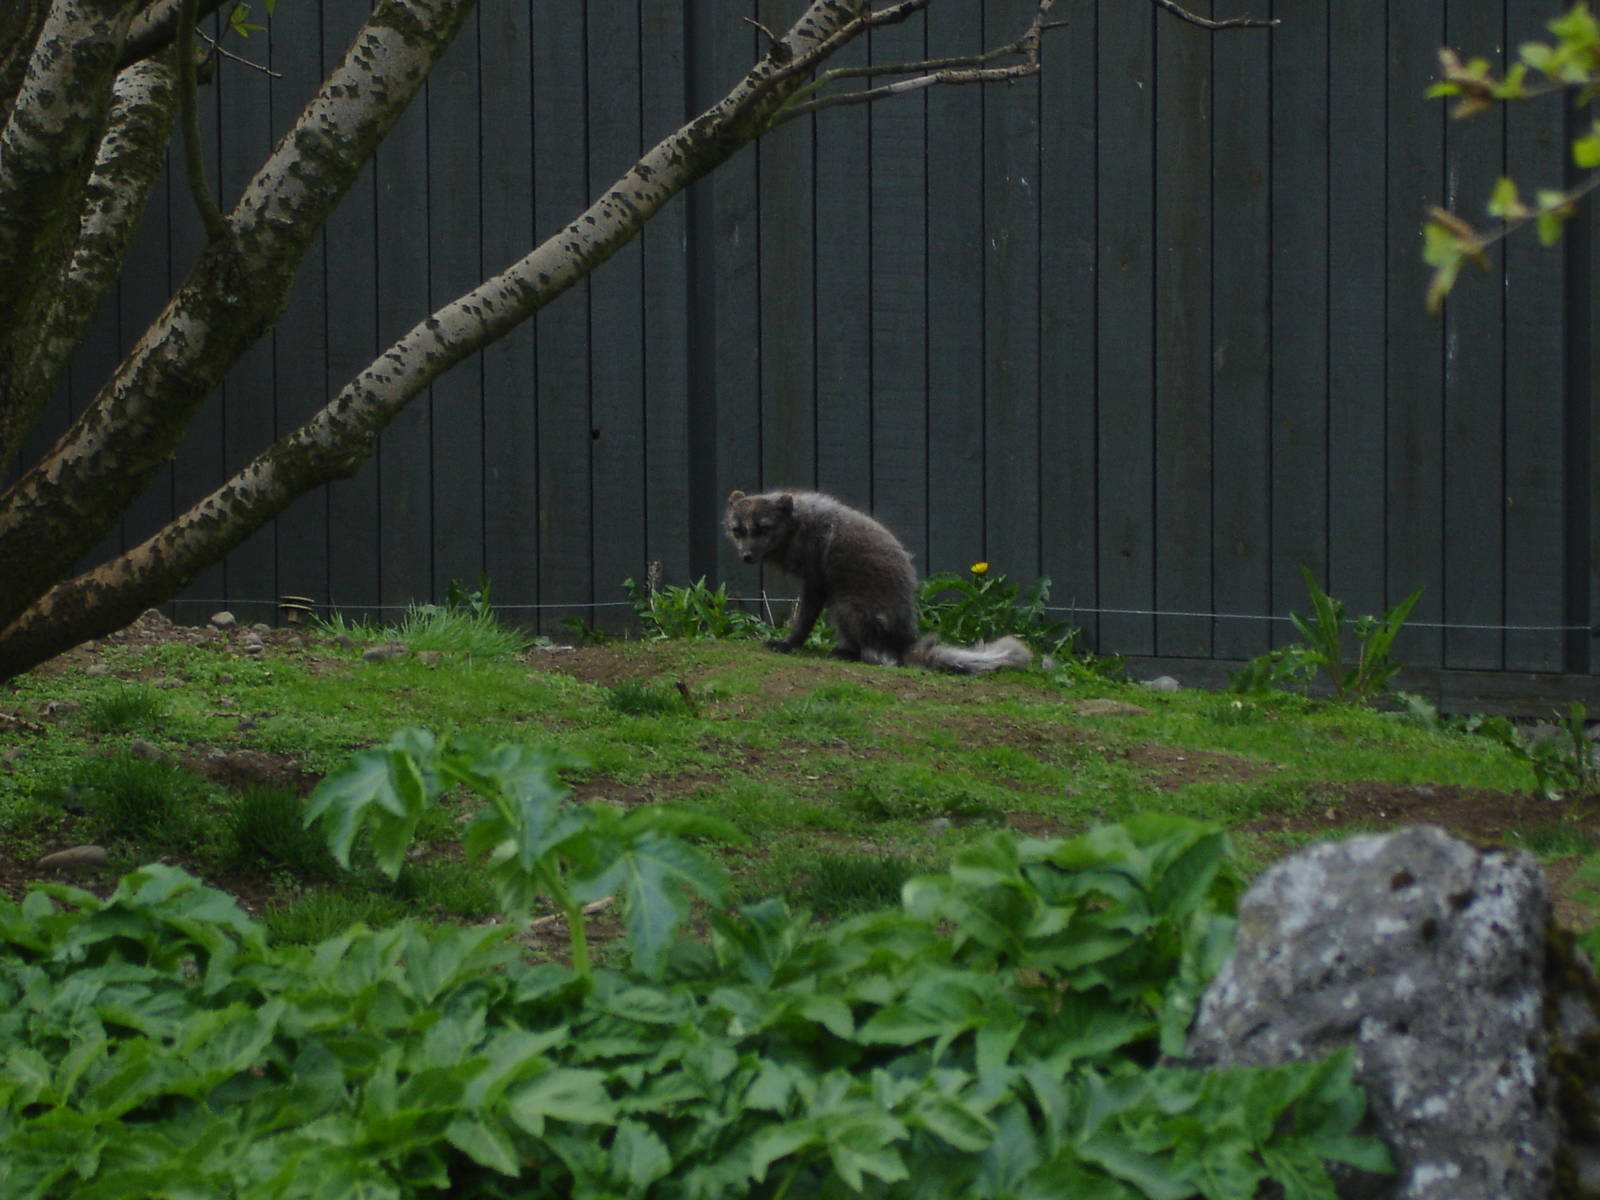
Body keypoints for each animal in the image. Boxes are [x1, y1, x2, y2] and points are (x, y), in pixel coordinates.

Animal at [723, 489, 1031, 674]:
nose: (746, 557)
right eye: (738, 530)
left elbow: (802, 622)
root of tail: (906, 641)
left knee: (881, 658)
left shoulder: (815, 583)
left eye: (763, 529)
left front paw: (788, 644)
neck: (797, 525)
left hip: (845, 605)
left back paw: (848, 654)